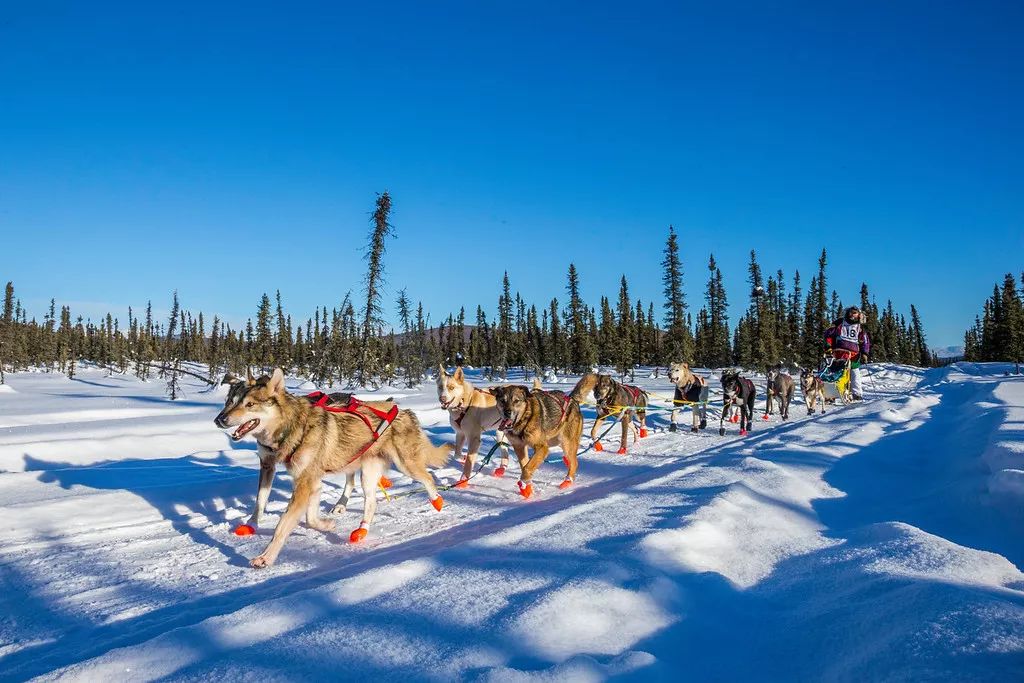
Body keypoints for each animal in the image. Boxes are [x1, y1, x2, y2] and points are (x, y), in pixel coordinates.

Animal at [214, 368, 450, 565]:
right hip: (368, 474)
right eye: (228, 402)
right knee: (371, 502)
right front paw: (326, 525)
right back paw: (361, 530)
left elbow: (284, 524)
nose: (219, 419)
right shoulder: (298, 477)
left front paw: (266, 557)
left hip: (405, 464)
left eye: (249, 405)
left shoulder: (304, 483)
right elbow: (299, 515)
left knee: (428, 478)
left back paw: (437, 500)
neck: (292, 427)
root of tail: (404, 410)